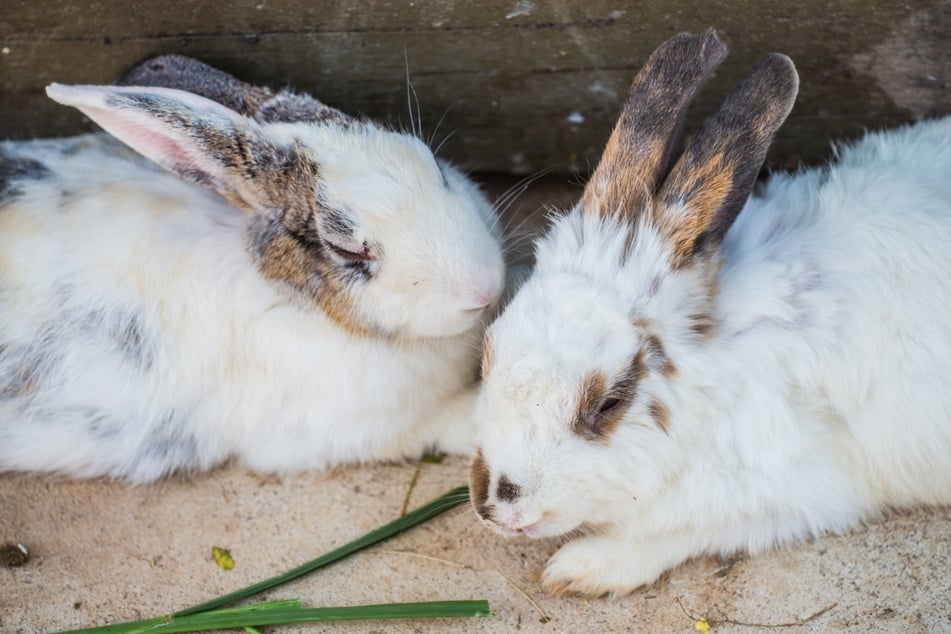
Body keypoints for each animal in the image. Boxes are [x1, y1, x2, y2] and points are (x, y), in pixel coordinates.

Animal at [468, 30, 951, 596]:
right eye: (487, 358)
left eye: (610, 403)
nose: (499, 508)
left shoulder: (803, 494)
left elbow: (679, 532)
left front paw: (579, 569)